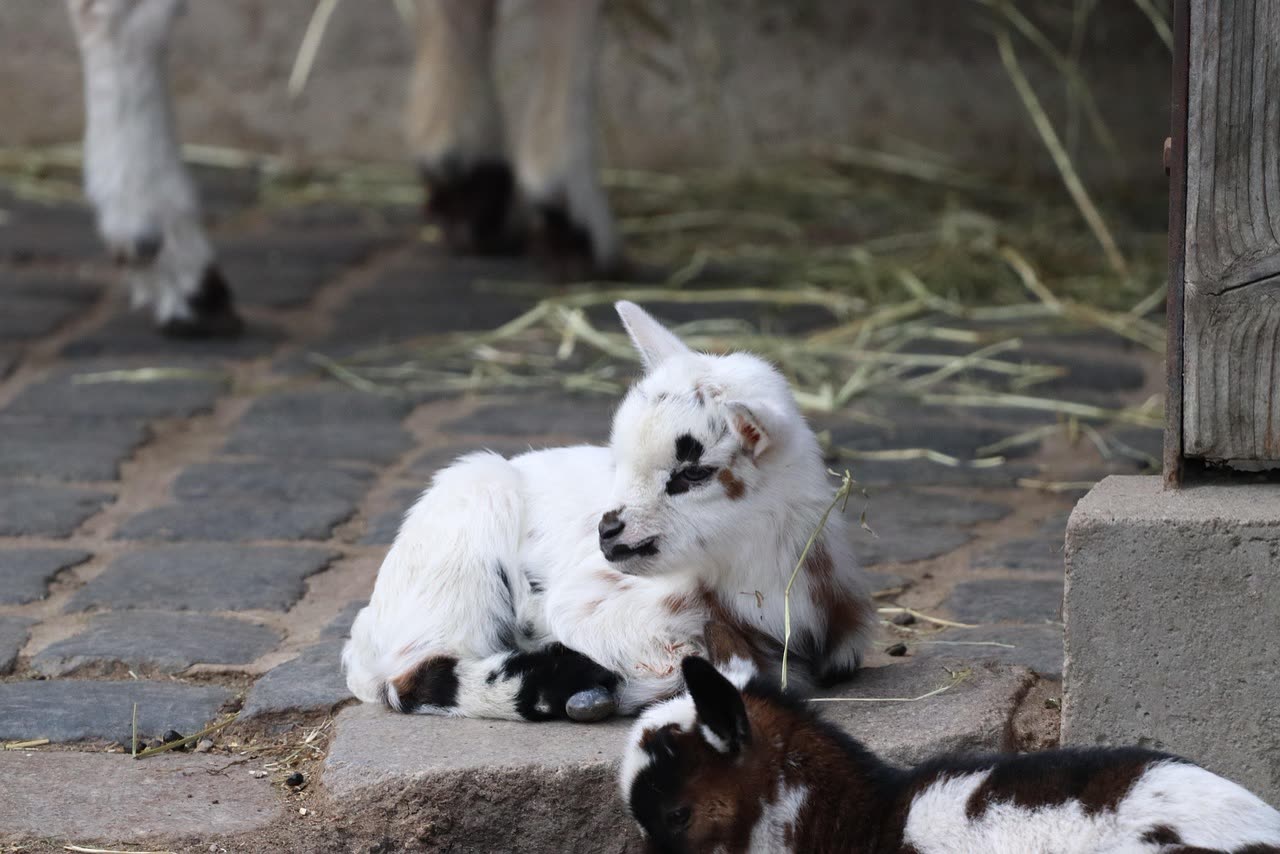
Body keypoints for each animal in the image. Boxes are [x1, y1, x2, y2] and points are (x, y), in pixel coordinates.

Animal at [342, 302, 873, 722]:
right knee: (412, 675)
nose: (607, 530)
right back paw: (567, 682)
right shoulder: (588, 602)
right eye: (618, 460)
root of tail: (367, 629)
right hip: (462, 540)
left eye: (693, 473)